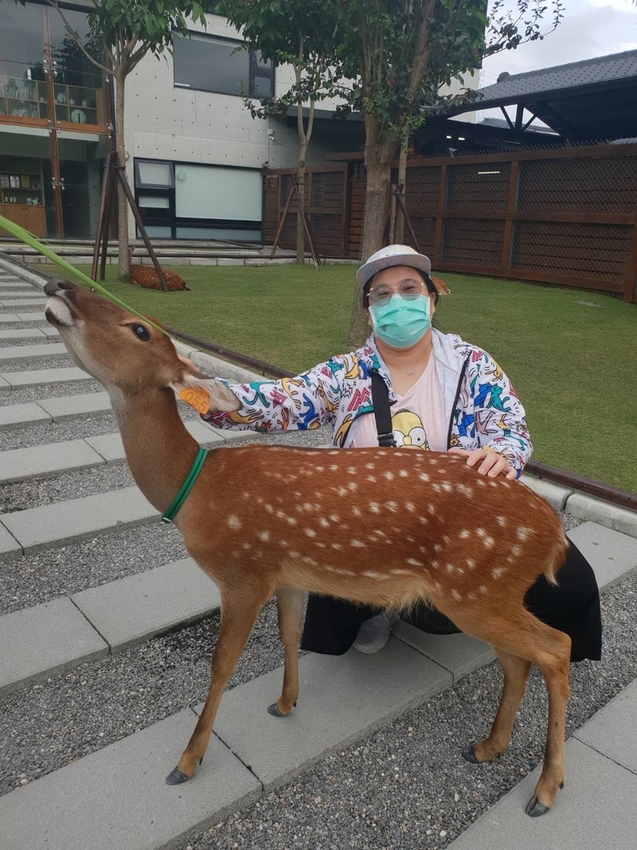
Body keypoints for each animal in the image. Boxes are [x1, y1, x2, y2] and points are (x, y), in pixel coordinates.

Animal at [44, 278, 572, 818]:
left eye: (139, 329)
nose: (60, 284)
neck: (198, 493)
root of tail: (555, 533)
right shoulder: (288, 573)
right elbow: (290, 633)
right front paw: (284, 703)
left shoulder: (244, 571)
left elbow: (222, 664)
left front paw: (187, 761)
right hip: (486, 594)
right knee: (518, 659)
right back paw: (488, 747)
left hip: (475, 588)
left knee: (556, 648)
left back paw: (545, 789)